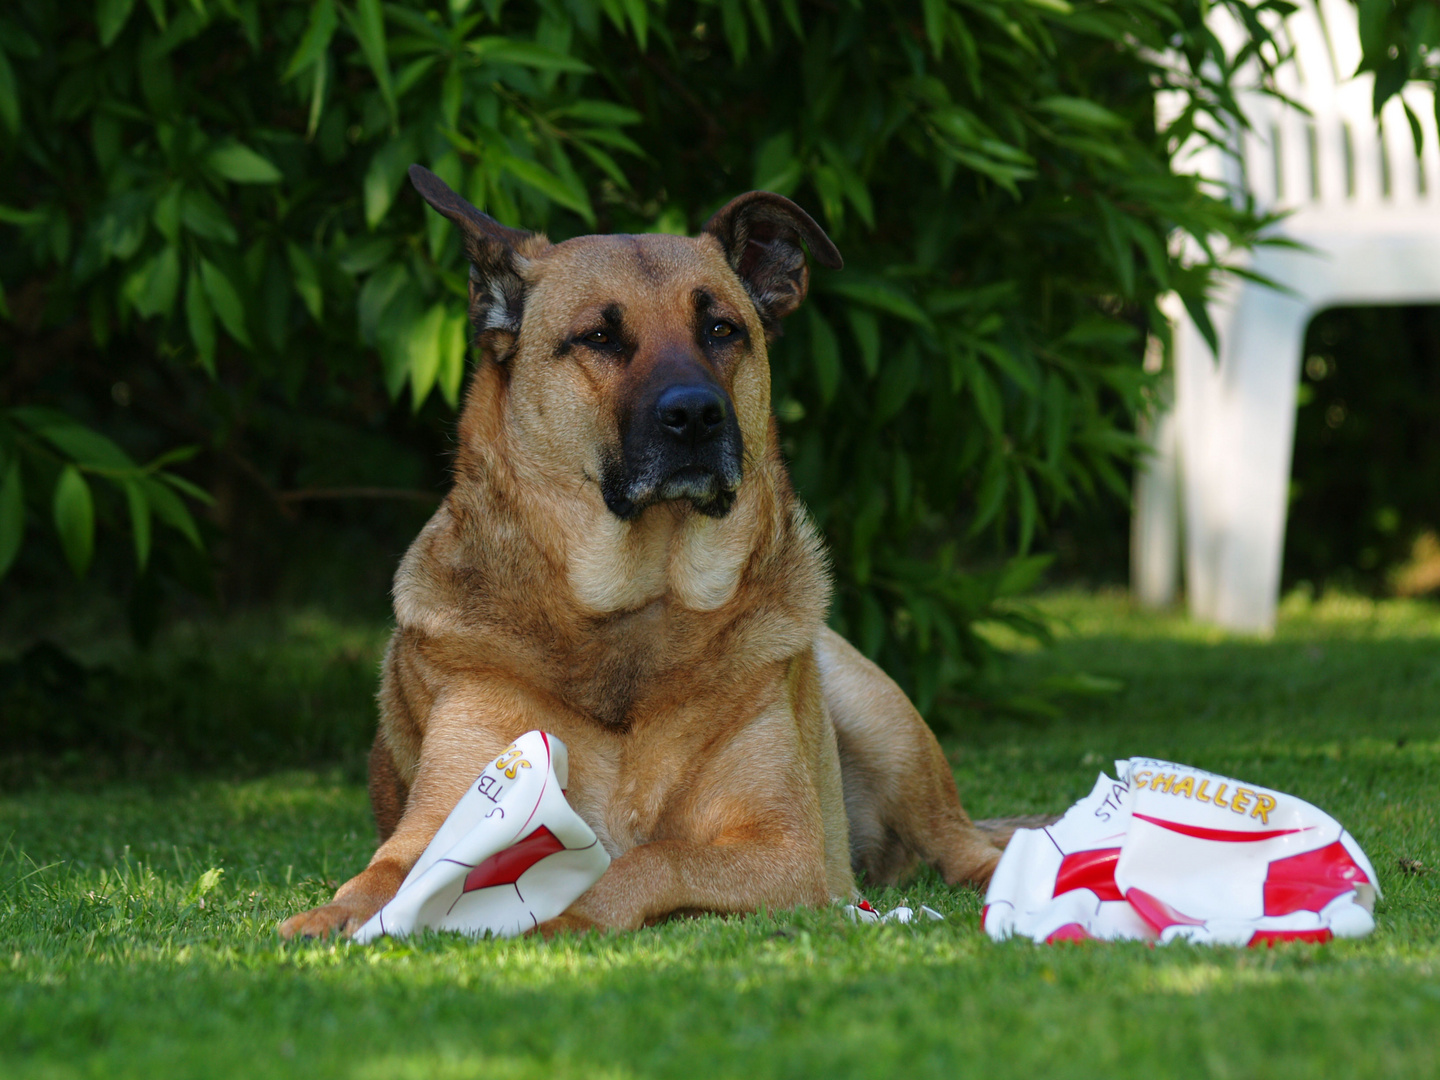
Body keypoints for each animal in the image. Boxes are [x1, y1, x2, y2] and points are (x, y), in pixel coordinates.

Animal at [280, 167, 1025, 938]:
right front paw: (328, 919)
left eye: (722, 329)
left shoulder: (785, 850)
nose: (696, 414)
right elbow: (379, 877)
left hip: (882, 722)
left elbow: (647, 861)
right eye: (599, 337)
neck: (640, 602)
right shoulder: (437, 822)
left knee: (968, 846)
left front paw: (556, 914)